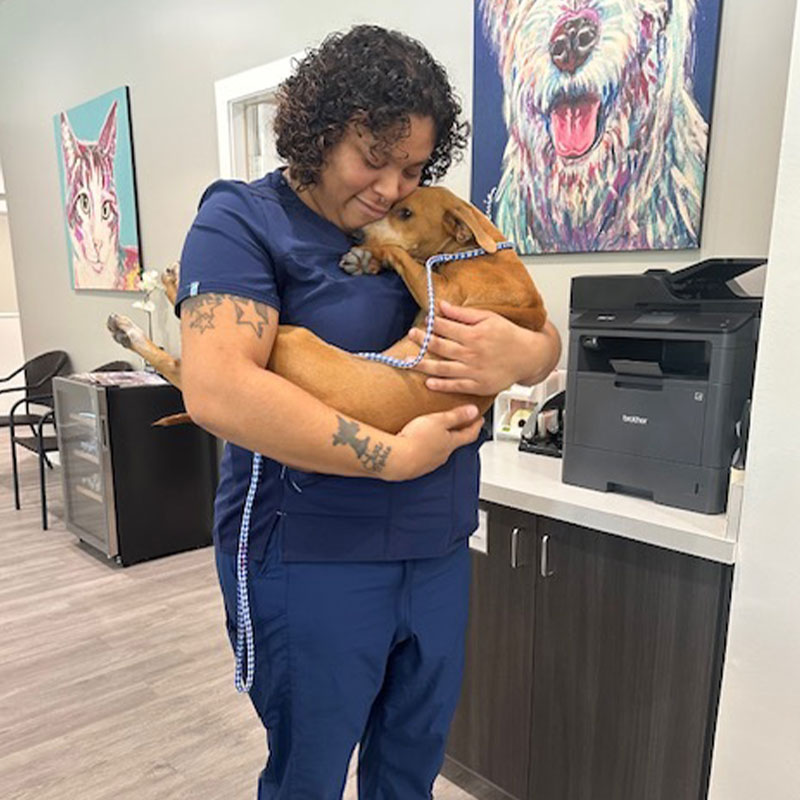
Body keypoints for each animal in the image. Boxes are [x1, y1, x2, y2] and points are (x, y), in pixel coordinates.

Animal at [108, 185, 544, 434]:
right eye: (391, 205)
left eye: (405, 213)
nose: (355, 234)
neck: (474, 249)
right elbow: (401, 258)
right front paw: (368, 260)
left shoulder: (447, 299)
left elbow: (401, 253)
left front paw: (371, 255)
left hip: (286, 335)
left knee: (179, 361)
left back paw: (138, 321)